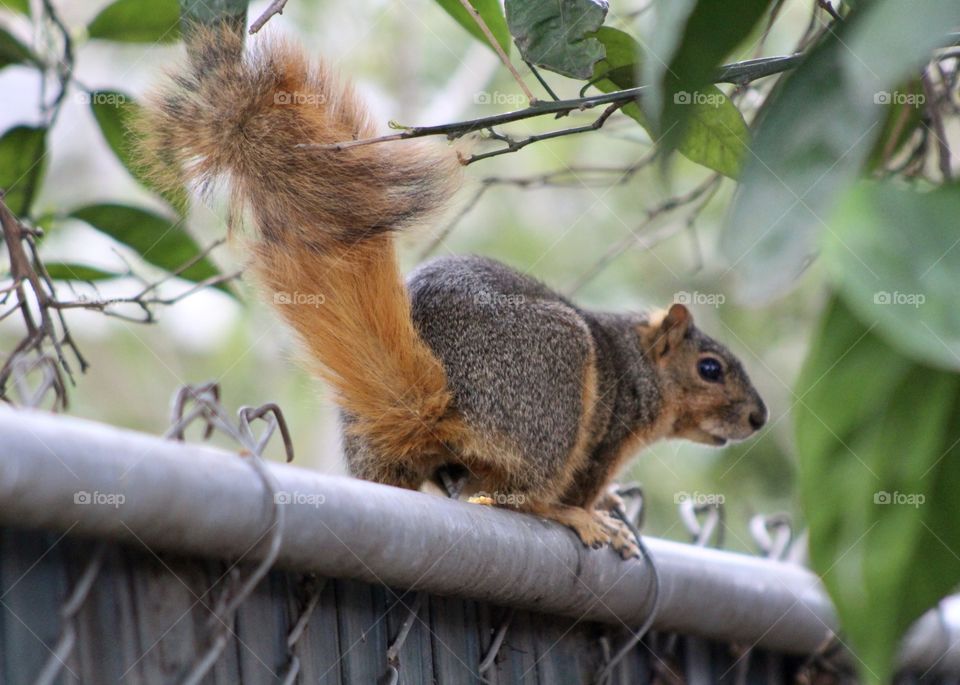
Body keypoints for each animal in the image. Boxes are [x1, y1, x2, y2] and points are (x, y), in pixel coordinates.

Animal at [139, 25, 767, 558]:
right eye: (710, 369)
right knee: (522, 496)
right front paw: (596, 508)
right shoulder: (609, 430)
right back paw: (571, 517)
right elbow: (583, 482)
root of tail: (433, 395)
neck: (639, 360)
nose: (759, 419)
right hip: (555, 389)